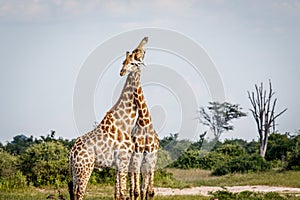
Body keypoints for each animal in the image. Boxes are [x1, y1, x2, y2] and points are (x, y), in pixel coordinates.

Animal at [67, 37, 148, 200]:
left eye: (133, 61)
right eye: (125, 61)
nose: (122, 72)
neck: (125, 121)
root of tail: (72, 153)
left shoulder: (120, 162)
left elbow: (118, 193)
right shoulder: (124, 159)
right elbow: (123, 193)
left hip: (75, 170)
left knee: (74, 192)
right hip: (85, 168)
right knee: (79, 193)